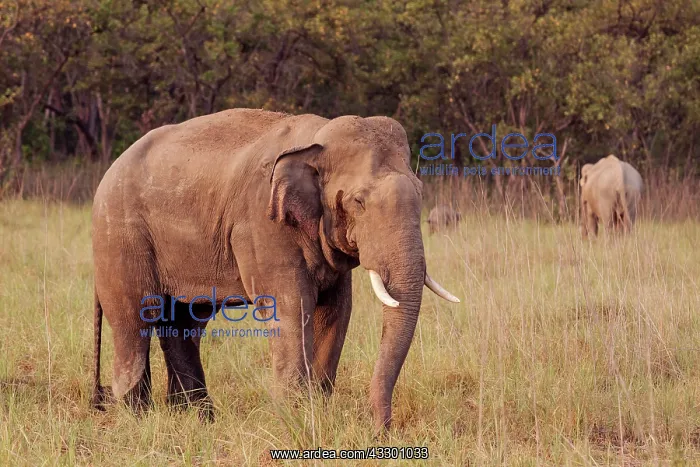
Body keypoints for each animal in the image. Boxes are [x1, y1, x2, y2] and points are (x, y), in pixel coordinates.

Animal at [90, 108, 460, 431]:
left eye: (421, 192)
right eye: (358, 202)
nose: (381, 431)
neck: (316, 139)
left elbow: (337, 310)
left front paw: (318, 411)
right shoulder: (262, 225)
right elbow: (292, 307)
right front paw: (297, 419)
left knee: (184, 324)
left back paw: (197, 419)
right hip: (120, 238)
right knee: (136, 319)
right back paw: (138, 418)